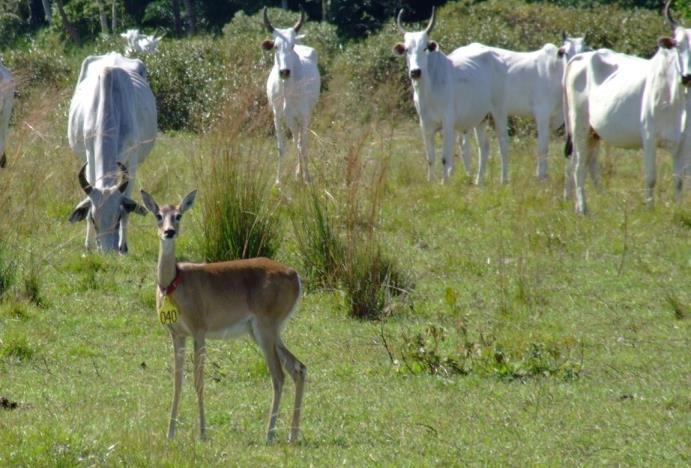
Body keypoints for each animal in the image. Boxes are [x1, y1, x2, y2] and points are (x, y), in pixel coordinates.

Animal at [67, 52, 157, 252]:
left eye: (117, 218)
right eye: (93, 219)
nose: (107, 251)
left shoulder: (131, 162)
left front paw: (123, 246)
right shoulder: (90, 154)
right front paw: (88, 245)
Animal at [262, 7, 322, 184]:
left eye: (292, 45)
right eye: (275, 46)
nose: (284, 72)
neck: (288, 89)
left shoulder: (304, 115)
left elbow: (303, 145)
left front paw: (307, 178)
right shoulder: (278, 116)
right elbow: (281, 147)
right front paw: (278, 181)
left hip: (304, 116)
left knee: (301, 142)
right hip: (290, 119)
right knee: (296, 140)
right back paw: (297, 173)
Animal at [392, 8, 510, 185]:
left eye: (425, 48)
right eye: (406, 49)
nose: (415, 72)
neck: (428, 89)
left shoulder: (448, 122)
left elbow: (445, 157)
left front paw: (445, 183)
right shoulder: (424, 124)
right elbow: (430, 158)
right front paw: (430, 182)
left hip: (498, 112)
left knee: (503, 144)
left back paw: (504, 180)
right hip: (481, 118)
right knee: (484, 146)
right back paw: (479, 180)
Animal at [564, 0, 688, 214]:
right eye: (678, 46)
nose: (687, 77)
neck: (676, 96)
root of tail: (581, 57)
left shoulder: (683, 141)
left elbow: (679, 180)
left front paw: (678, 208)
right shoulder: (649, 137)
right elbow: (651, 177)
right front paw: (649, 209)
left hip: (593, 133)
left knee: (587, 163)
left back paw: (594, 200)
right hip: (579, 126)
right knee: (578, 165)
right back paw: (583, 208)